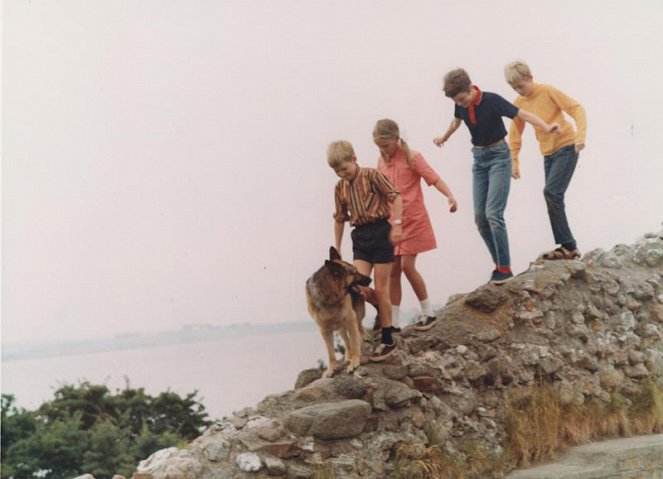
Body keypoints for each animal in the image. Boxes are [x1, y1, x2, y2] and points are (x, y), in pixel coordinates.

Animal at [308, 248, 374, 378]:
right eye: (355, 273)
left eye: (357, 270)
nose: (370, 279)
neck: (329, 297)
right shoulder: (325, 331)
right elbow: (331, 354)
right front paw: (330, 370)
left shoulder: (350, 319)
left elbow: (354, 342)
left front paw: (354, 362)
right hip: (340, 327)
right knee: (347, 342)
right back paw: (348, 356)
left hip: (356, 315)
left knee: (359, 327)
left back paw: (363, 338)